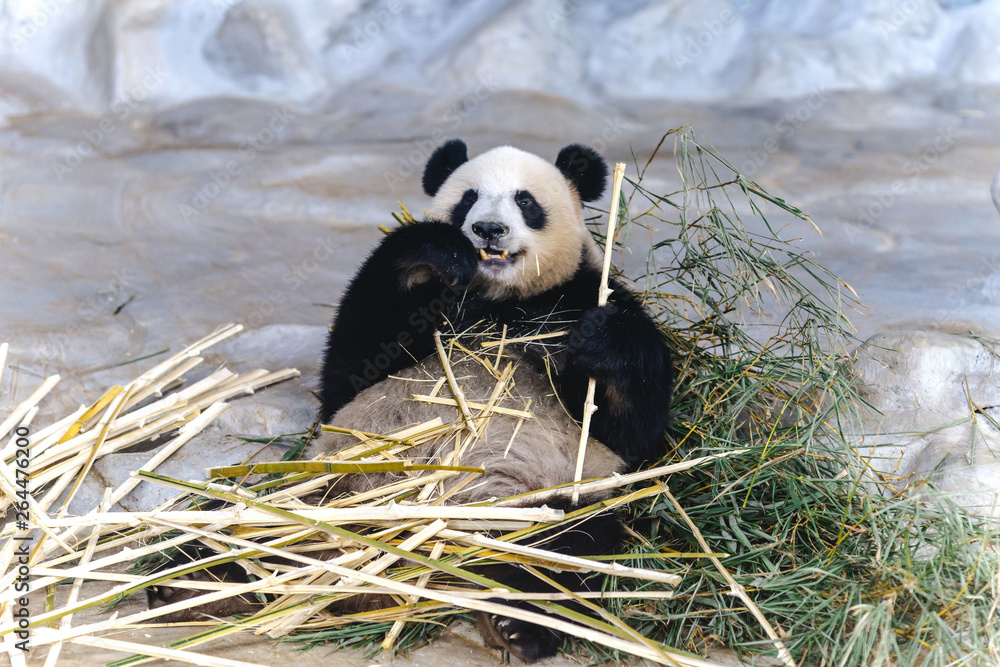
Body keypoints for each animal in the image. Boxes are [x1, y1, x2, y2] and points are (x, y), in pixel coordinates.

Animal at [148, 140, 673, 663]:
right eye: (468, 198)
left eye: (525, 201)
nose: (488, 229)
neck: (502, 302)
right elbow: (351, 367)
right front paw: (439, 250)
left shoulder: (575, 301)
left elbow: (633, 433)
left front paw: (601, 338)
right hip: (319, 490)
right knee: (238, 521)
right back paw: (190, 583)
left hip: (541, 500)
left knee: (560, 552)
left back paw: (516, 625)